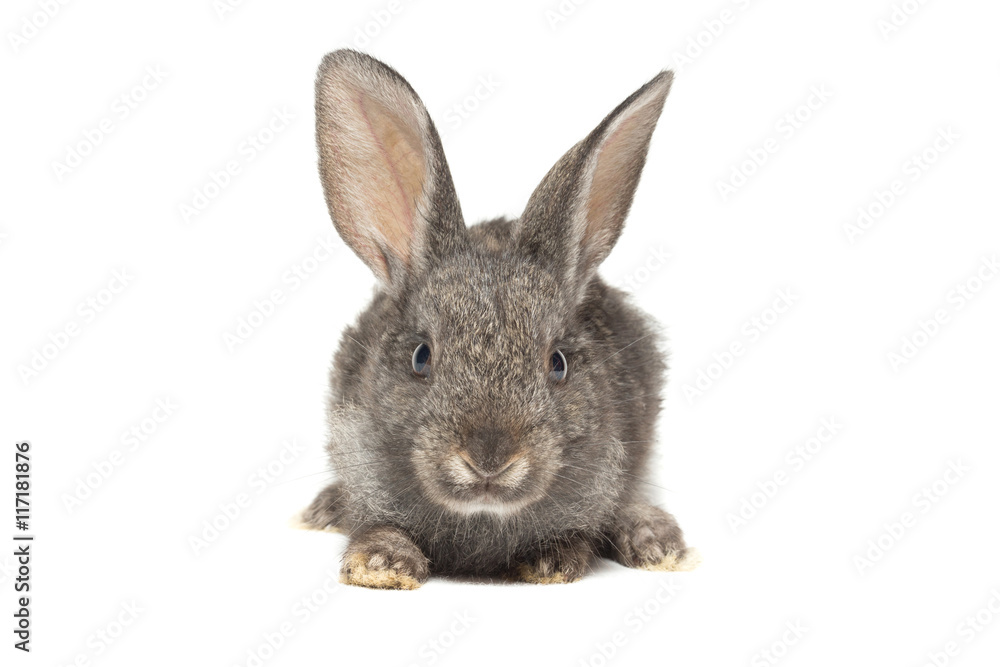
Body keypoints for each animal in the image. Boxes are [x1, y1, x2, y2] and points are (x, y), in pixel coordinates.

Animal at [300, 49, 697, 589]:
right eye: (421, 357)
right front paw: (381, 565)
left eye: (558, 364)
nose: (489, 458)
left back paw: (655, 539)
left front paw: (554, 562)